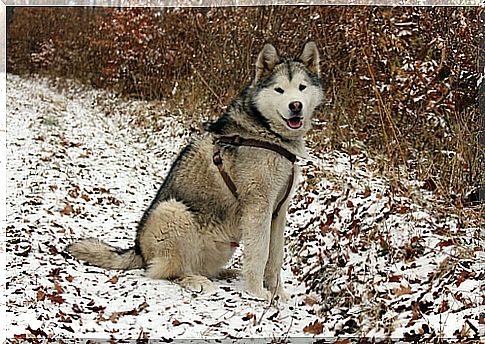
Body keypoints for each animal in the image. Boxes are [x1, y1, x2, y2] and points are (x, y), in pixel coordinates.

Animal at [66, 42, 324, 300]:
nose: (295, 106)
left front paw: (278, 293)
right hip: (173, 212)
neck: (268, 132)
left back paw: (227, 273)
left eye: (301, 87)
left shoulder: (279, 211)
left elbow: (275, 257)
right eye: (279, 90)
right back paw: (194, 280)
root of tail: (139, 251)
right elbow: (259, 254)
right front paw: (257, 293)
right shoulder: (258, 206)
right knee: (166, 271)